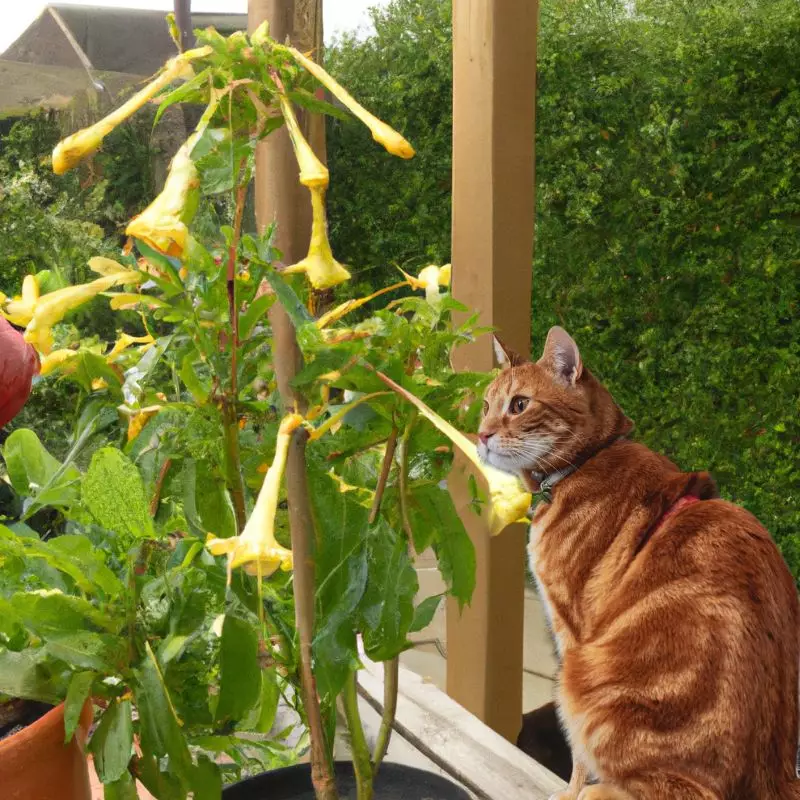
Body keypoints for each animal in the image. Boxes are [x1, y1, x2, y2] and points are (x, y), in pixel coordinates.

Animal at [478, 328, 796, 796]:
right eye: (486, 405)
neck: (587, 461)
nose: (480, 435)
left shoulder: (573, 636)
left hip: (585, 680)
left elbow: (576, 751)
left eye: (519, 404)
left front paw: (569, 792)